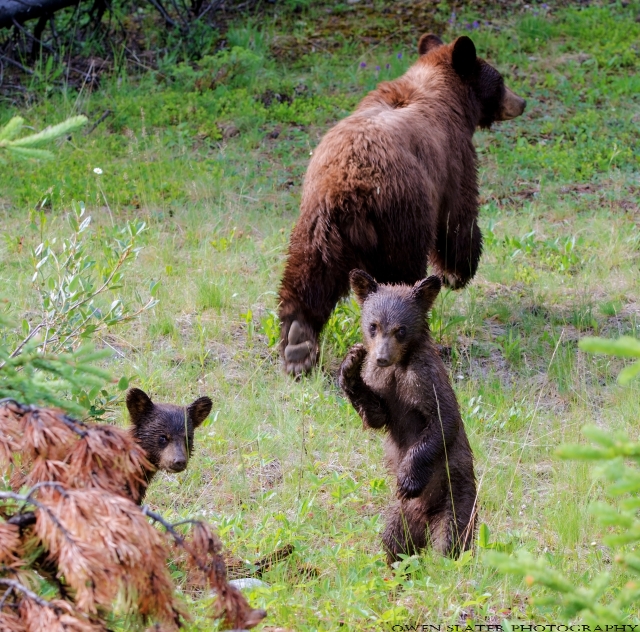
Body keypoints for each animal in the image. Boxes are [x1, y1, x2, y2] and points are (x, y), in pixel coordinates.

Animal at [278, 33, 526, 375]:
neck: (440, 91)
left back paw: (297, 345)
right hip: (401, 221)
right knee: (402, 279)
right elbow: (458, 217)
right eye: (501, 80)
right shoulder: (452, 159)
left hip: (316, 226)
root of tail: (349, 190)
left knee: (306, 277)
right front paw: (458, 272)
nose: (521, 102)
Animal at [338, 269, 477, 562]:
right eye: (374, 325)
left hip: (457, 502)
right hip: (401, 516)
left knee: (451, 543)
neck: (398, 367)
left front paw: (408, 481)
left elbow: (443, 422)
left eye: (400, 329)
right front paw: (351, 367)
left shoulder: (423, 379)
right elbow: (376, 414)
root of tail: (424, 524)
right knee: (393, 544)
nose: (381, 357)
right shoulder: (383, 384)